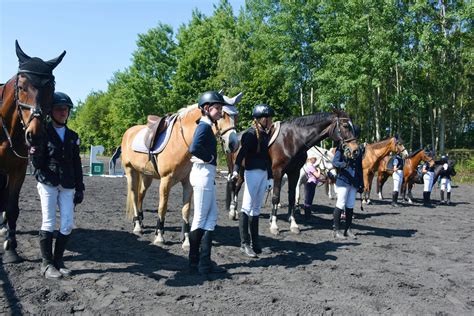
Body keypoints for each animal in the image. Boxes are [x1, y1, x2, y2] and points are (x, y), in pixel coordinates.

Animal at [0, 40, 65, 262]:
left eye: (51, 88)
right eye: (21, 87)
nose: (35, 135)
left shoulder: (18, 170)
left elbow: (12, 208)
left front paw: (11, 248)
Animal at [122, 94, 241, 249]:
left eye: (236, 116)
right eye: (222, 114)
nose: (234, 144)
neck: (181, 141)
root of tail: (129, 132)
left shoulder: (187, 183)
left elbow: (186, 210)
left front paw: (186, 241)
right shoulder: (165, 180)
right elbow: (162, 207)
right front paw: (159, 236)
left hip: (146, 175)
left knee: (141, 194)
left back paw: (141, 222)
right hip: (131, 171)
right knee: (134, 194)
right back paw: (137, 225)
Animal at [225, 110, 356, 236]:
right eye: (345, 126)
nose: (355, 150)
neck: (293, 139)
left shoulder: (294, 173)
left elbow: (292, 198)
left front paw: (293, 225)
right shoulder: (278, 172)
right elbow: (276, 197)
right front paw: (274, 226)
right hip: (239, 170)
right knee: (235, 188)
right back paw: (232, 212)